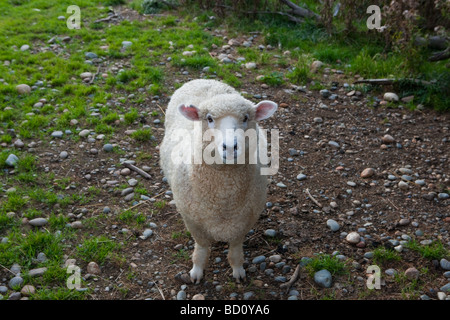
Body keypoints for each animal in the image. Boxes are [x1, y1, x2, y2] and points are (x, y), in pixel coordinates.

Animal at [160, 79, 276, 282]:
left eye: (246, 118)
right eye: (209, 118)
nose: (230, 147)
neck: (223, 194)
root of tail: (203, 80)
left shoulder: (243, 222)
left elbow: (235, 250)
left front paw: (238, 270)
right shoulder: (193, 222)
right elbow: (201, 248)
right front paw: (197, 270)